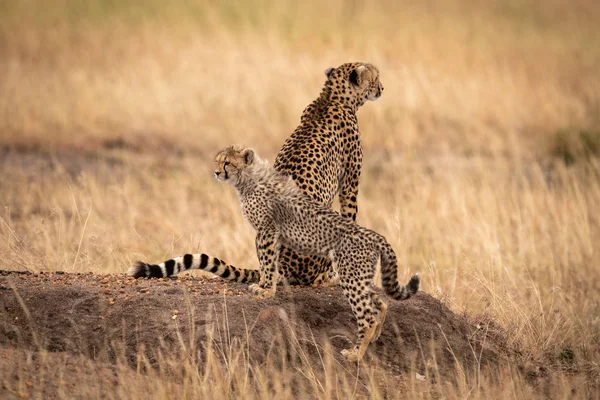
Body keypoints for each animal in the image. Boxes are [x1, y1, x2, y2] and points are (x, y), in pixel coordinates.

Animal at [131, 61, 384, 288]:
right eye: (375, 77)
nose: (382, 88)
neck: (333, 96)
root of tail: (284, 268)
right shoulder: (350, 182)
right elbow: (351, 215)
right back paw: (328, 277)